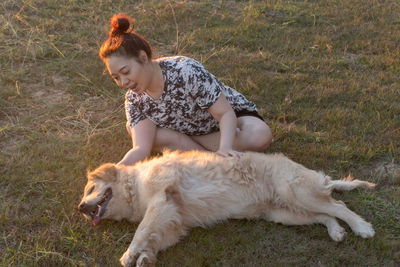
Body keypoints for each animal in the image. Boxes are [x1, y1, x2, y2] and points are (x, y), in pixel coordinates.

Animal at [77, 152, 376, 266]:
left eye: (90, 188)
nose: (80, 207)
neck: (135, 187)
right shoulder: (174, 221)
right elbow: (155, 238)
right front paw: (146, 257)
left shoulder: (163, 199)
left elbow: (141, 231)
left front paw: (129, 254)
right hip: (285, 213)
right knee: (326, 214)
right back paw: (337, 232)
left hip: (296, 192)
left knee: (339, 205)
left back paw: (362, 228)